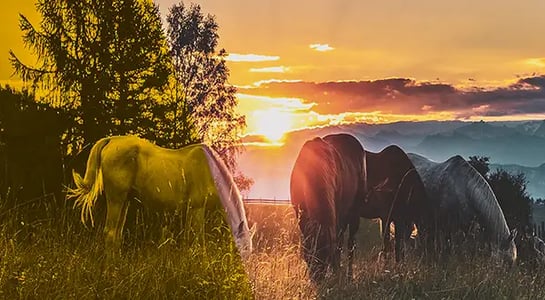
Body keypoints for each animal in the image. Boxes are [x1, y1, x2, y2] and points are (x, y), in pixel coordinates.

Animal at [288, 134, 366, 282]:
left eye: (326, 258)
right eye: (309, 256)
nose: (317, 280)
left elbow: (338, 247)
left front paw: (336, 272)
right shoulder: (302, 217)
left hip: (354, 214)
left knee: (349, 244)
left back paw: (348, 275)